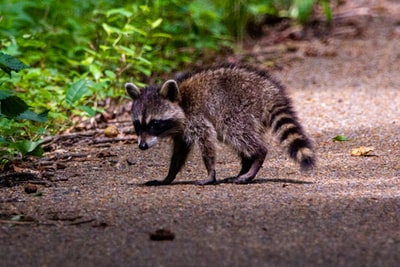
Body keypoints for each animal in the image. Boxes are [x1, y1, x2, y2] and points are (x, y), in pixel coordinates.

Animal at [126, 65, 316, 186]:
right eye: (137, 125)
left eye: (154, 123)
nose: (142, 146)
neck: (180, 101)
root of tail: (268, 90)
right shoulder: (181, 131)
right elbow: (179, 152)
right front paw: (169, 176)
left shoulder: (196, 117)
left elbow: (207, 140)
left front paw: (210, 173)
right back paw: (246, 165)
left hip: (238, 108)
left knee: (236, 132)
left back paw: (256, 158)